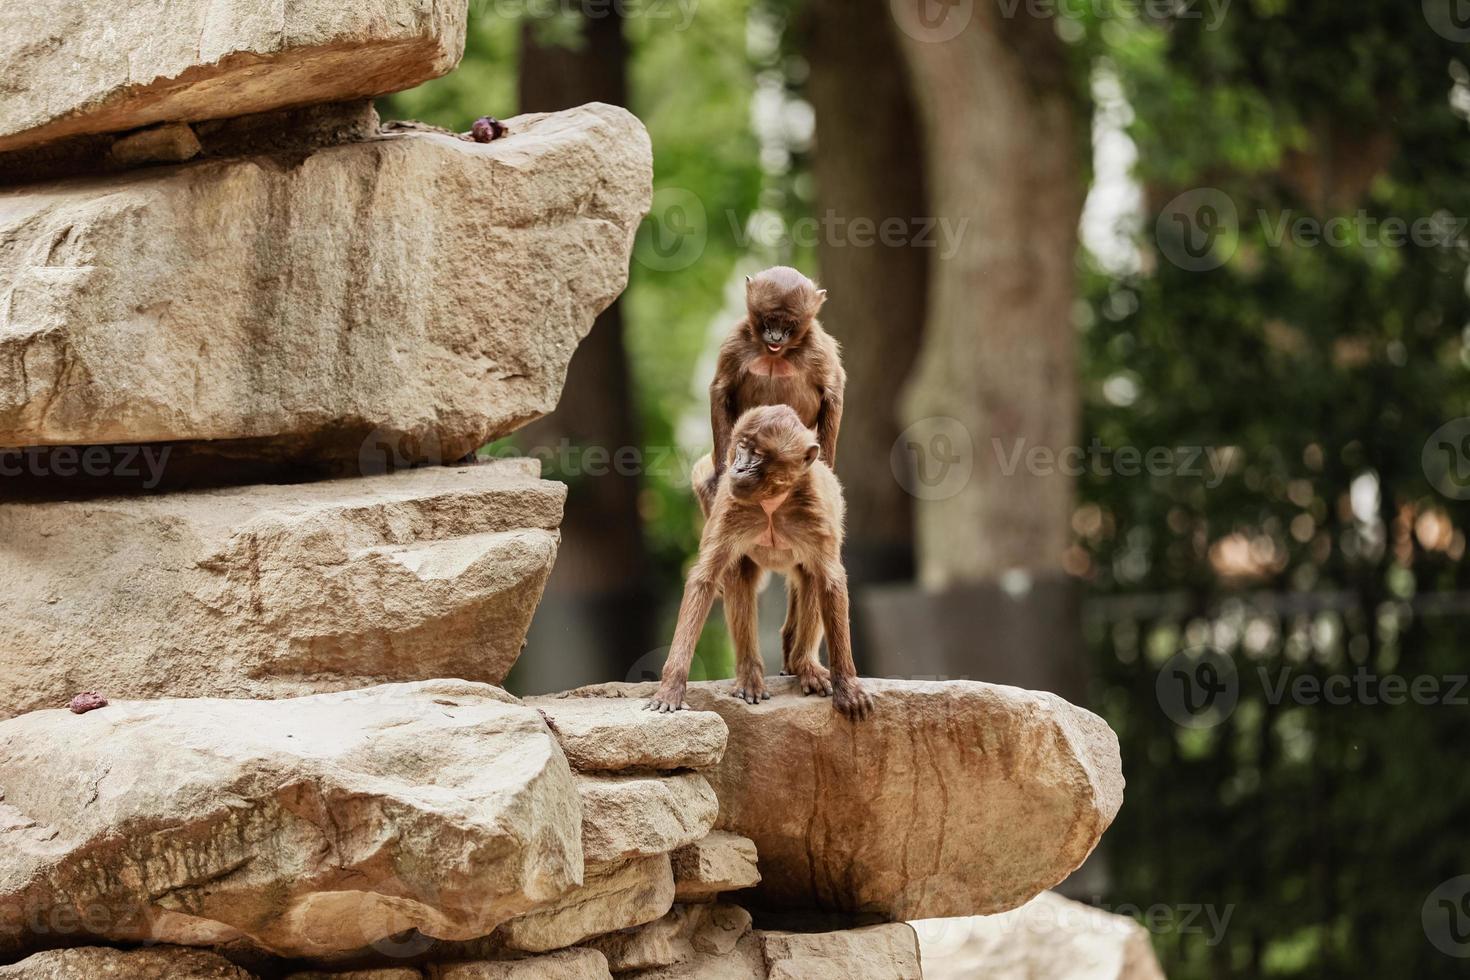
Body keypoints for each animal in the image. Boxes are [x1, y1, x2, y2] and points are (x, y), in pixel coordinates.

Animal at [646, 405, 870, 719]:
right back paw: (750, 673)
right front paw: (672, 686)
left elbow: (830, 582)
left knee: (812, 578)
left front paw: (847, 686)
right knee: (738, 575)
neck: (772, 502)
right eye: (742, 447)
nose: (739, 468)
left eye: (759, 454)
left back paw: (804, 664)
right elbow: (704, 579)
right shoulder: (730, 505)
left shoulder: (815, 512)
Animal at [702, 268, 852, 514]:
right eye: (770, 320)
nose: (776, 336)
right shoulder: (736, 340)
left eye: (789, 323)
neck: (775, 355)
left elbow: (833, 394)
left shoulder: (818, 346)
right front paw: (721, 477)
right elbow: (720, 391)